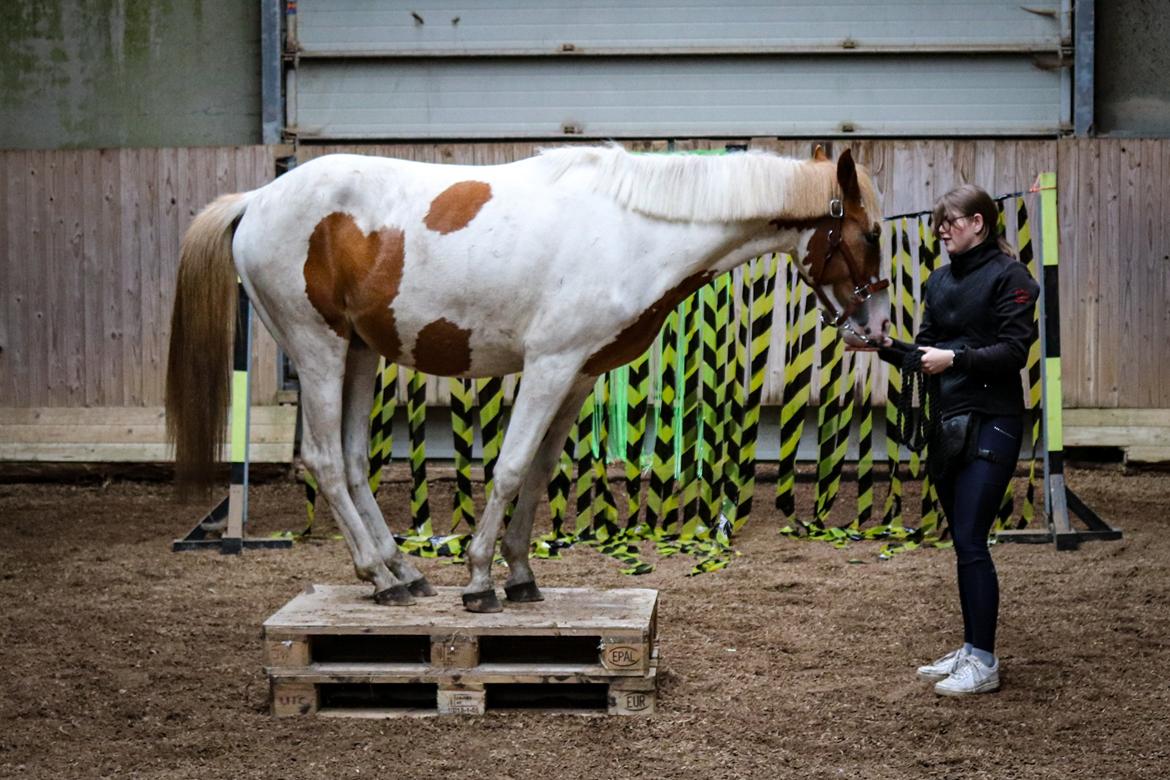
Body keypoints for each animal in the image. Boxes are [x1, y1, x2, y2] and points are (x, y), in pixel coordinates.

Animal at [164, 143, 884, 612]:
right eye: (871, 233)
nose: (875, 329)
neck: (630, 230)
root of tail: (258, 200)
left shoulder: (578, 376)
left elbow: (538, 475)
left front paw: (520, 575)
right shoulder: (548, 365)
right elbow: (509, 469)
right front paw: (480, 580)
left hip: (359, 353)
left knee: (351, 459)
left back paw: (399, 572)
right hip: (318, 348)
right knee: (323, 460)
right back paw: (383, 575)